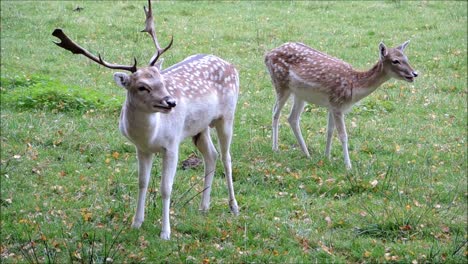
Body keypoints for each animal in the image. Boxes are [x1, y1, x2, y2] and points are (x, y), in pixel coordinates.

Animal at [53, 0, 239, 239]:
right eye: (142, 86)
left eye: (162, 81)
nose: (171, 102)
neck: (150, 135)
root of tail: (231, 65)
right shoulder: (141, 149)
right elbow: (142, 183)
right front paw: (136, 223)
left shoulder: (172, 144)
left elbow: (165, 188)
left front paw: (165, 233)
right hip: (200, 127)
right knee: (212, 155)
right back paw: (203, 206)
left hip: (227, 115)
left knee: (226, 157)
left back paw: (233, 206)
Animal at [266, 41, 418, 169]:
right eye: (395, 61)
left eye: (406, 58)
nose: (414, 73)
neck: (354, 86)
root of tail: (267, 55)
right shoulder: (338, 105)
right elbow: (343, 135)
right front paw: (348, 166)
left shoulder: (332, 105)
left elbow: (329, 131)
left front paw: (327, 157)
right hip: (281, 84)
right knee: (275, 112)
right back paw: (275, 148)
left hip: (300, 95)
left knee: (292, 118)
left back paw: (306, 153)